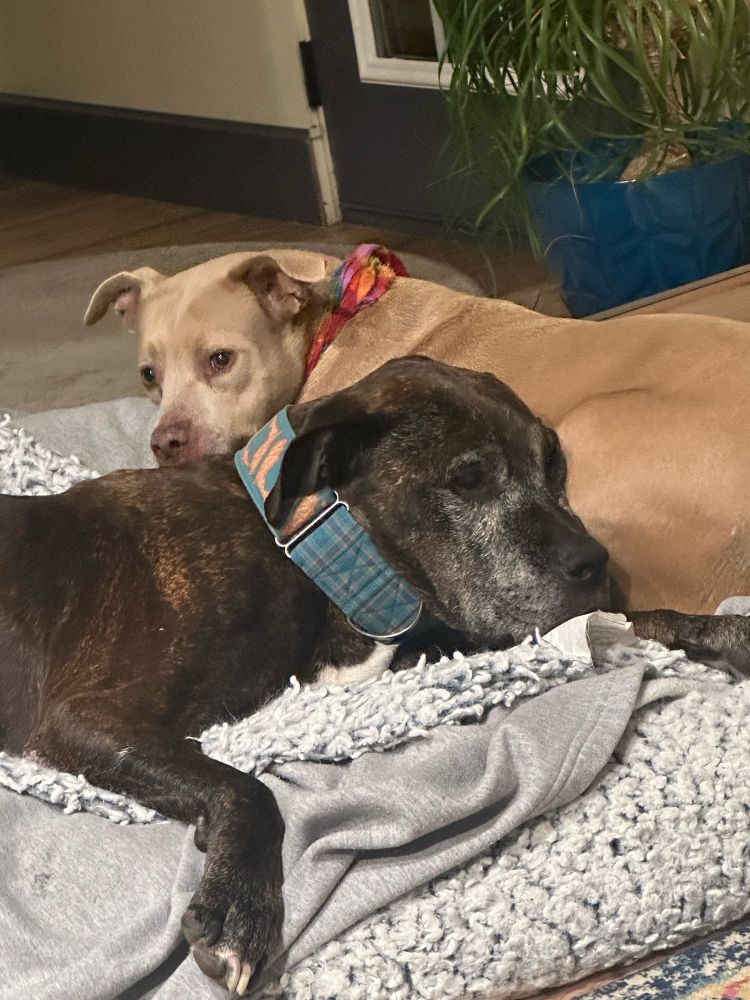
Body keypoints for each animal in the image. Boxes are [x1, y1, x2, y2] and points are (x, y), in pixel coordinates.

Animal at [2, 357, 748, 992]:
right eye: (469, 478)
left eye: (555, 464)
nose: (596, 563)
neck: (305, 549)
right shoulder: (85, 716)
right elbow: (248, 788)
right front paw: (239, 908)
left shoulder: (439, 643)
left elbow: (618, 623)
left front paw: (716, 631)